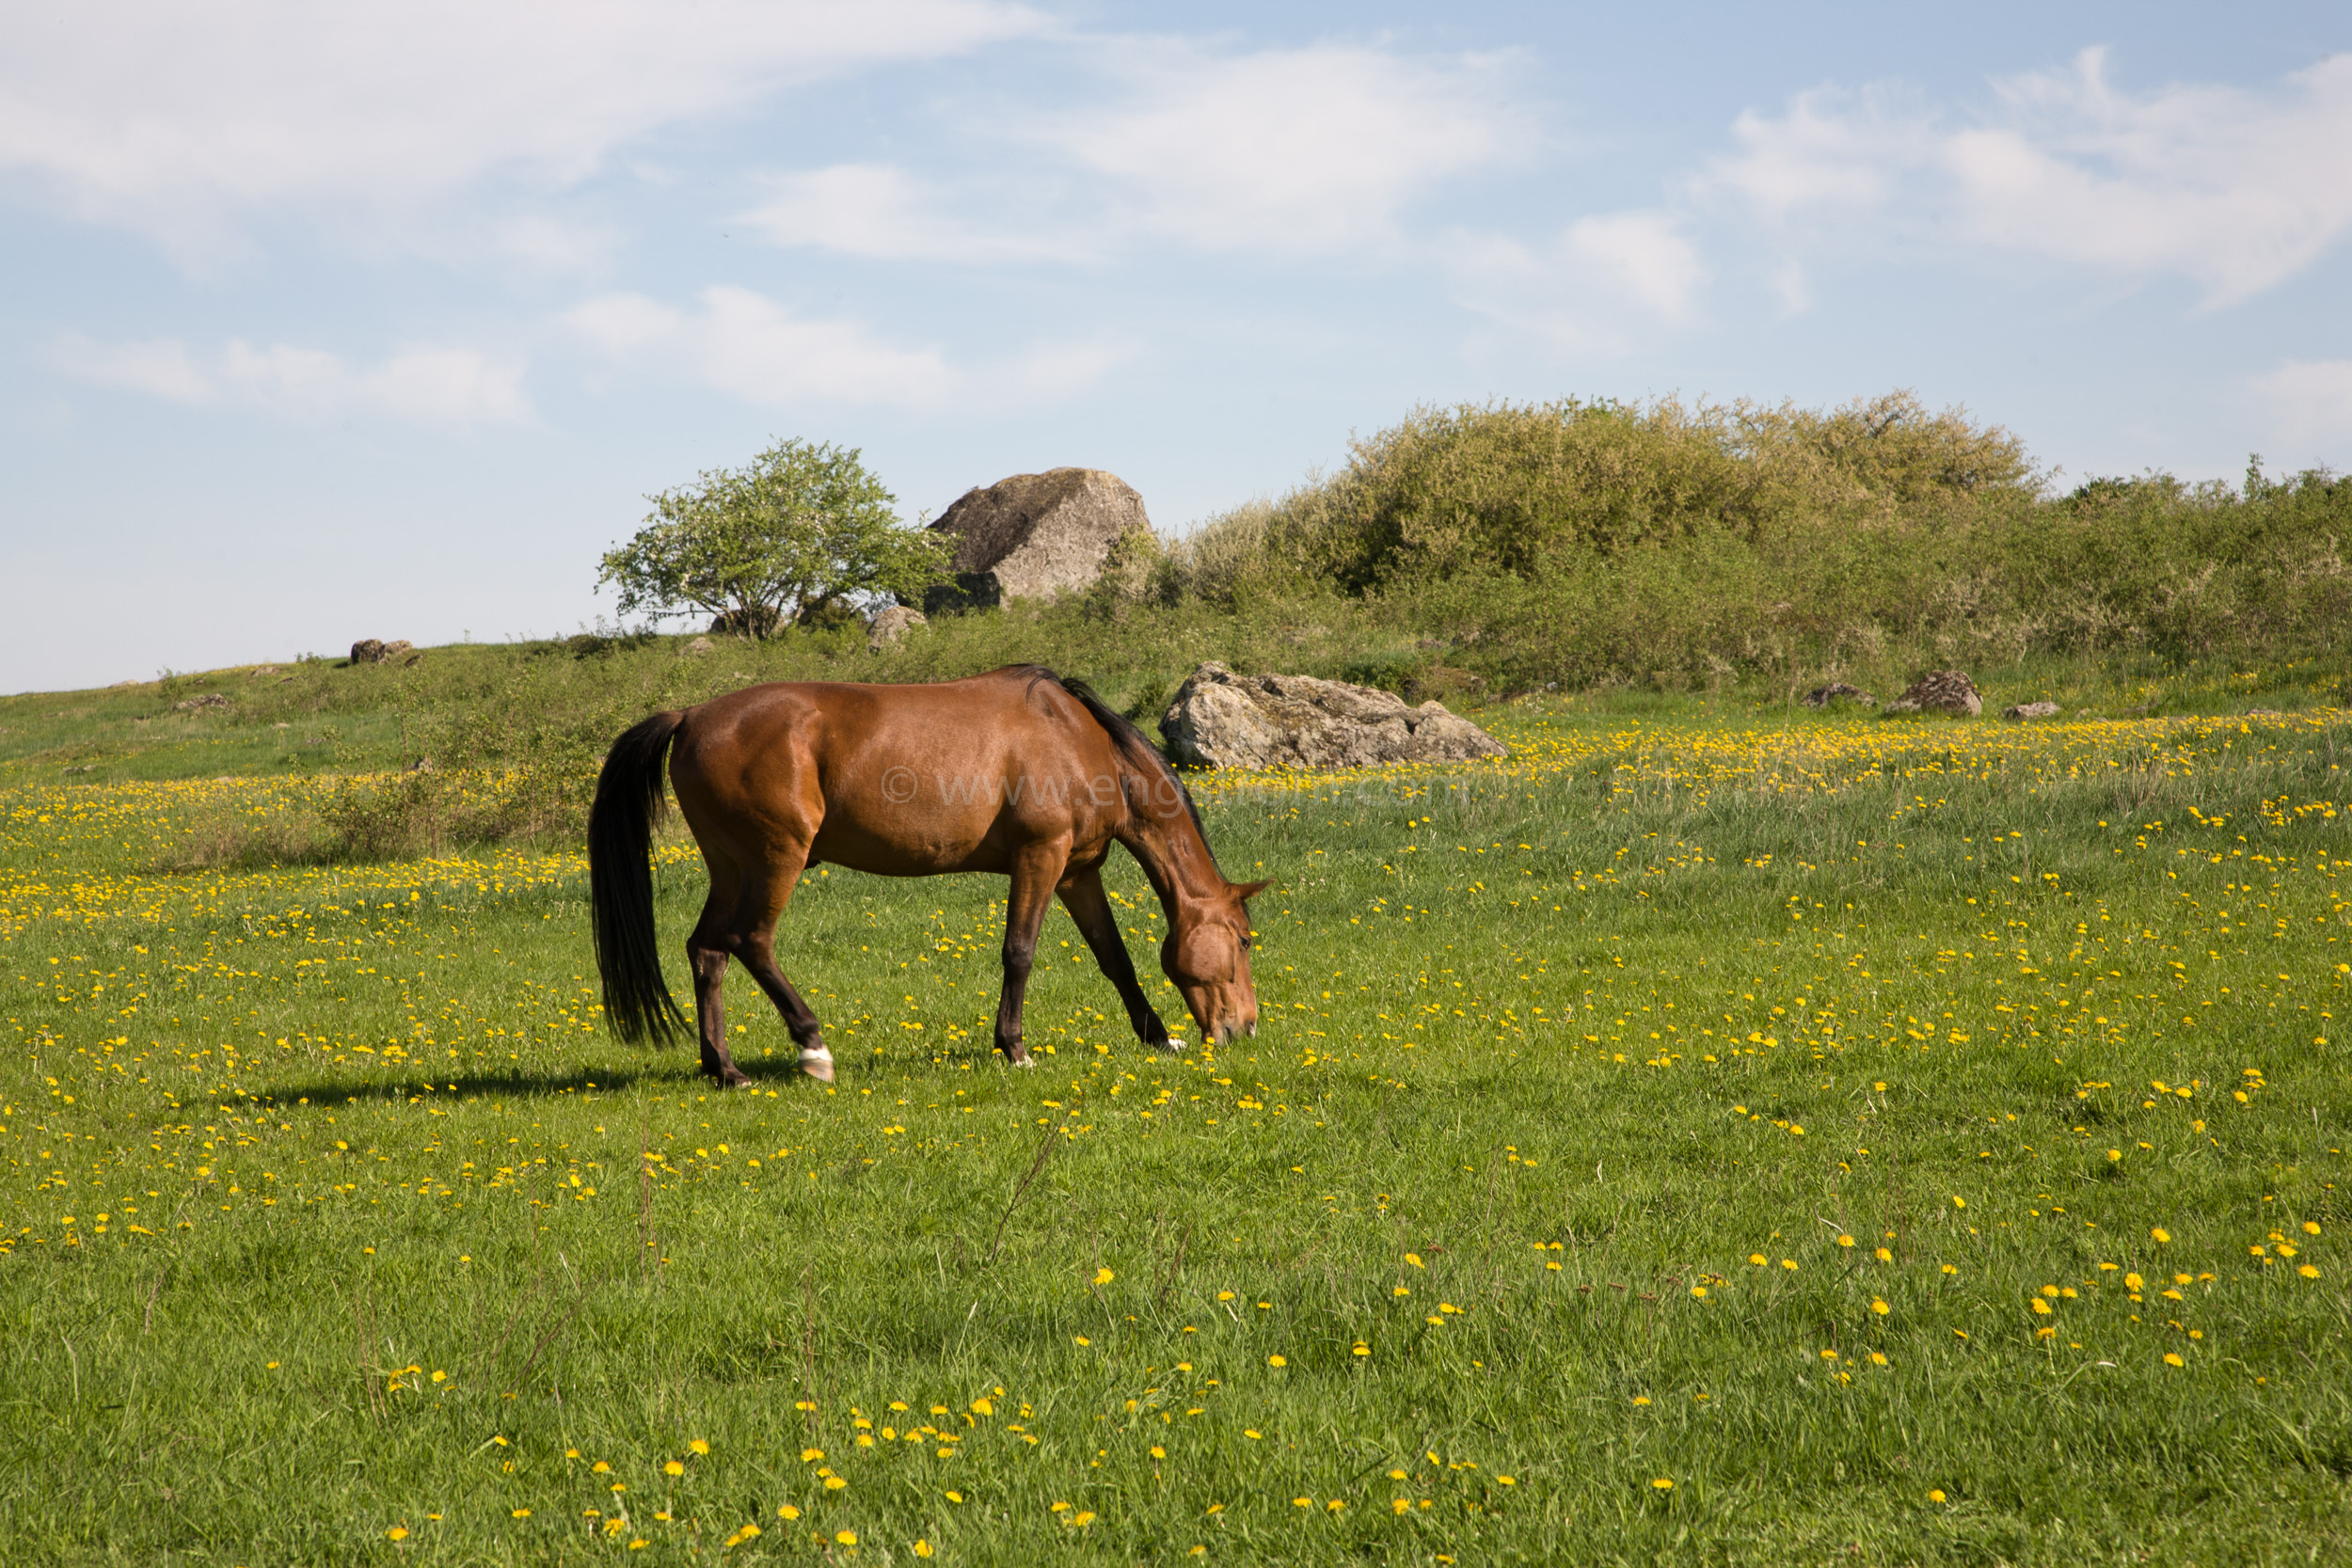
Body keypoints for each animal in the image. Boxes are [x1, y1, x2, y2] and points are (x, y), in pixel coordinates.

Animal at [588, 667, 1270, 1090]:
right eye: (1243, 940)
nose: (1244, 1027)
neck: (1077, 739)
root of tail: (691, 715)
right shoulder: (1040, 858)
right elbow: (1019, 952)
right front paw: (1013, 1047)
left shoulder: (1078, 872)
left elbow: (1114, 958)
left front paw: (1158, 1037)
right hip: (775, 860)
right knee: (751, 942)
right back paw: (813, 1047)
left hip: (732, 867)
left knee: (707, 951)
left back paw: (724, 1069)